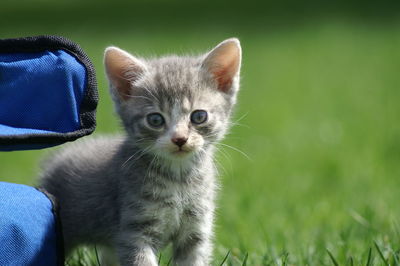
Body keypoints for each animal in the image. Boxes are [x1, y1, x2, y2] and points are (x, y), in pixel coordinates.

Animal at [39, 38, 241, 266]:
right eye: (155, 119)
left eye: (199, 116)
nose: (179, 139)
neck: (178, 180)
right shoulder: (134, 230)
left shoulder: (195, 230)